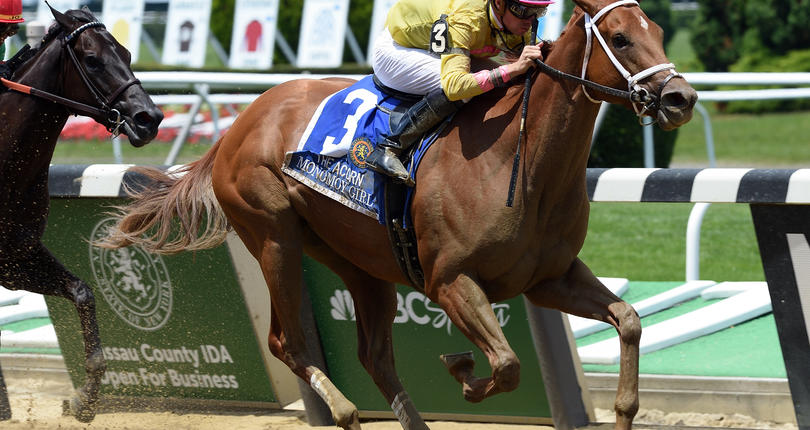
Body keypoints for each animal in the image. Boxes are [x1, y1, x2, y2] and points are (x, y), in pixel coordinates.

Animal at [0, 6, 163, 424]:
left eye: (127, 54)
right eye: (92, 60)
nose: (149, 118)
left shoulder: (17, 258)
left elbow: (83, 293)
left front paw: (85, 398)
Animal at [101, 0, 696, 428]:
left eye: (658, 30)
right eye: (620, 38)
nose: (681, 98)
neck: (520, 163)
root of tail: (235, 129)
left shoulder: (549, 277)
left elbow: (629, 320)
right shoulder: (450, 280)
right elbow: (505, 365)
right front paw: (461, 368)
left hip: (358, 261)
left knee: (373, 355)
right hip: (273, 237)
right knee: (287, 342)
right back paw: (344, 412)